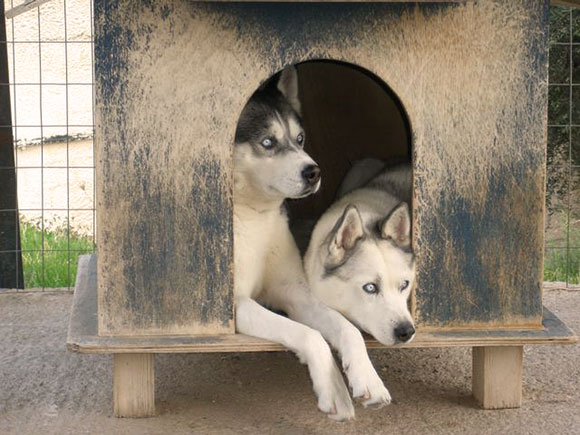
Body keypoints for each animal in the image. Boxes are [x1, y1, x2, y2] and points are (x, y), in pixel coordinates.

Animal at [233, 67, 390, 421]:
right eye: (268, 142)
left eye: (300, 139)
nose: (313, 171)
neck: (255, 217)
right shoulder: (236, 305)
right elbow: (309, 334)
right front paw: (333, 390)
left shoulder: (297, 292)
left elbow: (348, 329)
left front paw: (367, 379)